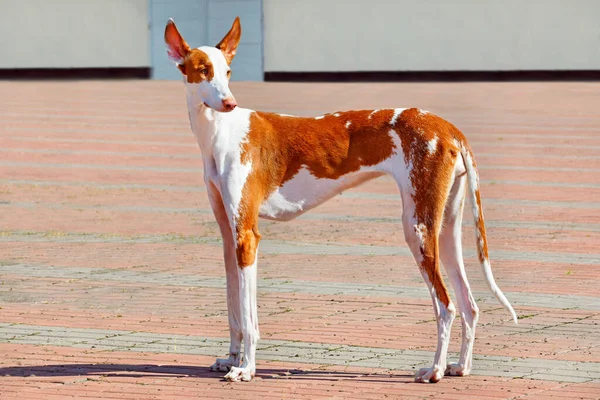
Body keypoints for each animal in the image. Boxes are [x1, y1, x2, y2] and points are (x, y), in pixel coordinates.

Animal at [163, 16, 516, 384]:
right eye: (204, 70)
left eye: (228, 71)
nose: (229, 103)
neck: (222, 132)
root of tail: (448, 128)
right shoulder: (229, 237)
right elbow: (234, 311)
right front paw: (230, 359)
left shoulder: (247, 237)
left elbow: (248, 318)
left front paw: (246, 368)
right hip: (444, 228)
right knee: (468, 303)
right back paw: (460, 367)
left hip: (417, 229)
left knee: (446, 305)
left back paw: (434, 370)